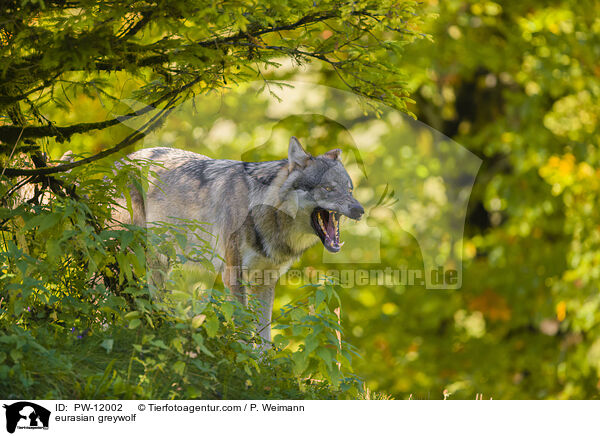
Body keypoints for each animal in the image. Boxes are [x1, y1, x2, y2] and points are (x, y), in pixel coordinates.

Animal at [114, 138, 364, 342]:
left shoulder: (265, 282)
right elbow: (243, 330)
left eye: (350, 190)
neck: (263, 211)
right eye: (328, 188)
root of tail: (118, 162)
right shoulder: (233, 275)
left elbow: (264, 338)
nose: (360, 210)